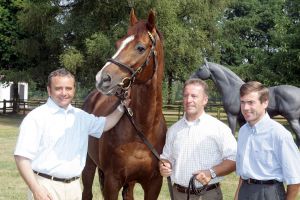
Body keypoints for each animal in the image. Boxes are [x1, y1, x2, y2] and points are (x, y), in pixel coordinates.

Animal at [81, 9, 168, 200]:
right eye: (118, 44)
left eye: (140, 47)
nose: (102, 78)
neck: (143, 129)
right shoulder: (112, 181)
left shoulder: (154, 184)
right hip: (89, 165)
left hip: (130, 182)